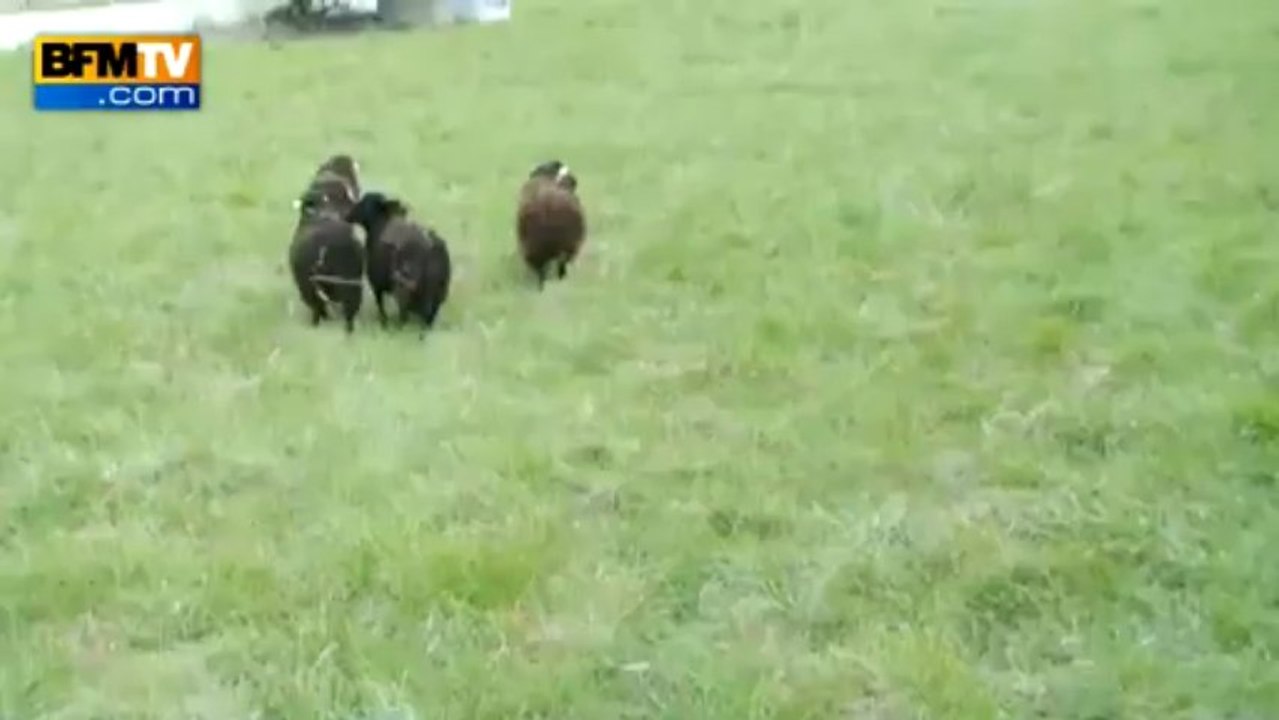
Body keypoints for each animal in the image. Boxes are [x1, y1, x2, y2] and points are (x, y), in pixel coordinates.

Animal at [346, 191, 452, 334]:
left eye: (365, 202)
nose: (347, 215)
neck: (381, 224)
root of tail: (431, 244)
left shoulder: (377, 284)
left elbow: (380, 304)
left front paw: (384, 322)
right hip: (440, 292)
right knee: (428, 318)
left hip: (405, 289)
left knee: (406, 314)